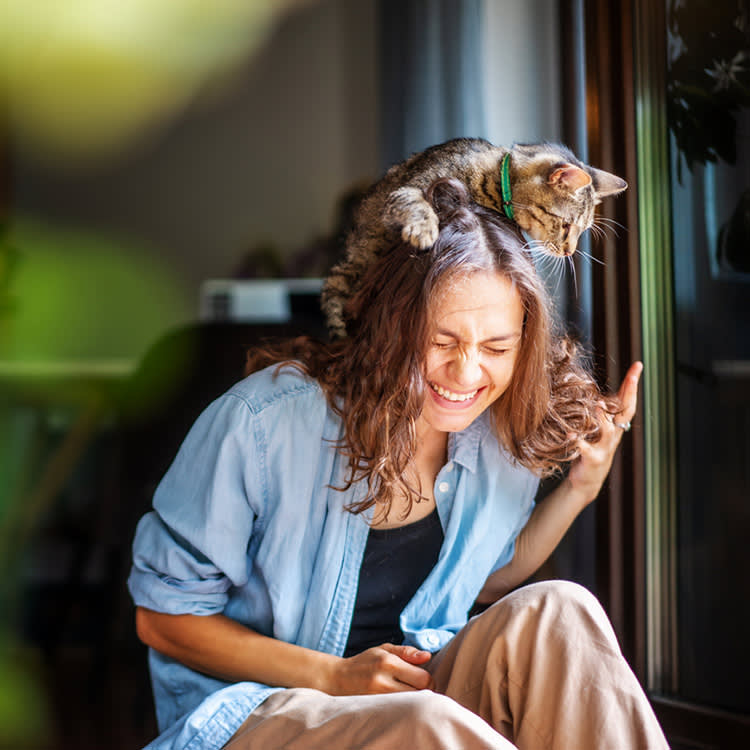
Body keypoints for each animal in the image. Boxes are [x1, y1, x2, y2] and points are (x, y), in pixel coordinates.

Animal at [324, 140, 628, 340]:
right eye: (566, 226)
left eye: (581, 229)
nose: (569, 251)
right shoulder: (406, 189)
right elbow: (414, 202)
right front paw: (423, 229)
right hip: (348, 270)